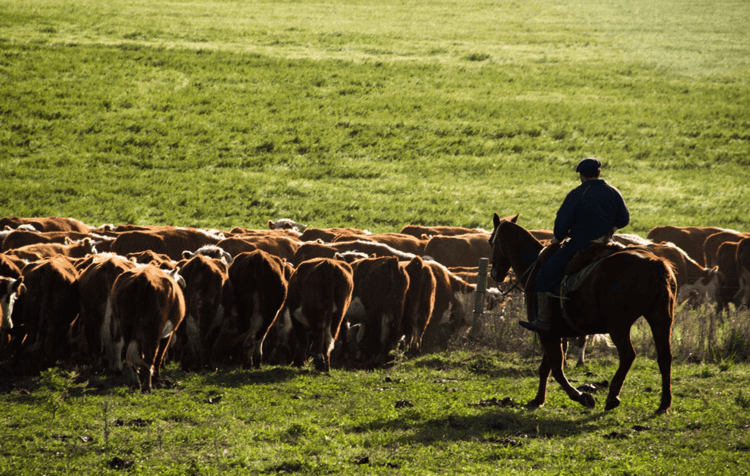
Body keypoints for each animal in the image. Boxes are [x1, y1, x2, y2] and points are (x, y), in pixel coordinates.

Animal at [490, 212, 680, 412]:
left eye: (491, 241)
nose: (495, 274)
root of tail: (654, 263)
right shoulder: (553, 332)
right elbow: (547, 367)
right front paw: (538, 399)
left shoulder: (545, 332)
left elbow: (556, 368)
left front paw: (580, 396)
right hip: (661, 319)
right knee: (665, 357)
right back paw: (664, 403)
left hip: (618, 325)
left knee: (628, 355)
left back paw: (612, 397)